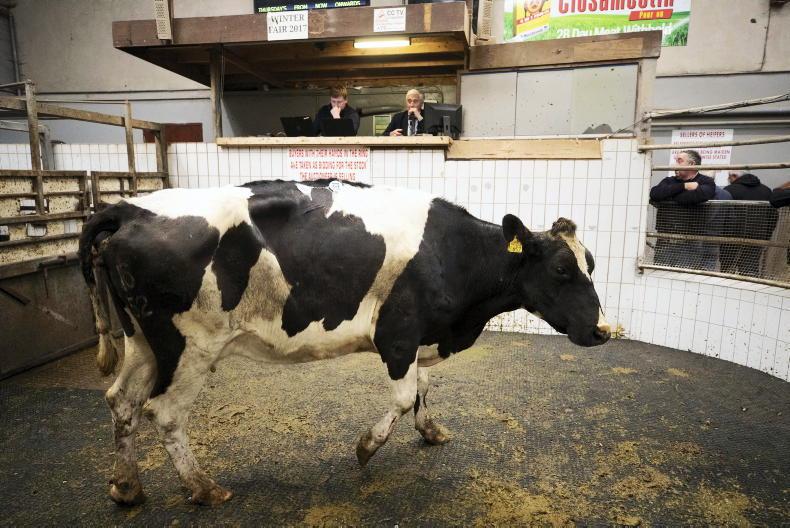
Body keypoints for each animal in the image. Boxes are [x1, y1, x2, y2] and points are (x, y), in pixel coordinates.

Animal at [78, 178, 610, 506]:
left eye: (591, 264)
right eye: (561, 269)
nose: (603, 331)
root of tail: (130, 208)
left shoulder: (418, 337)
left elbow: (422, 390)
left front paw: (431, 430)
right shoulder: (397, 334)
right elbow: (404, 395)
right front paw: (366, 448)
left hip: (143, 340)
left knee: (121, 400)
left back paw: (126, 486)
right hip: (191, 345)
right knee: (163, 412)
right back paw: (203, 488)